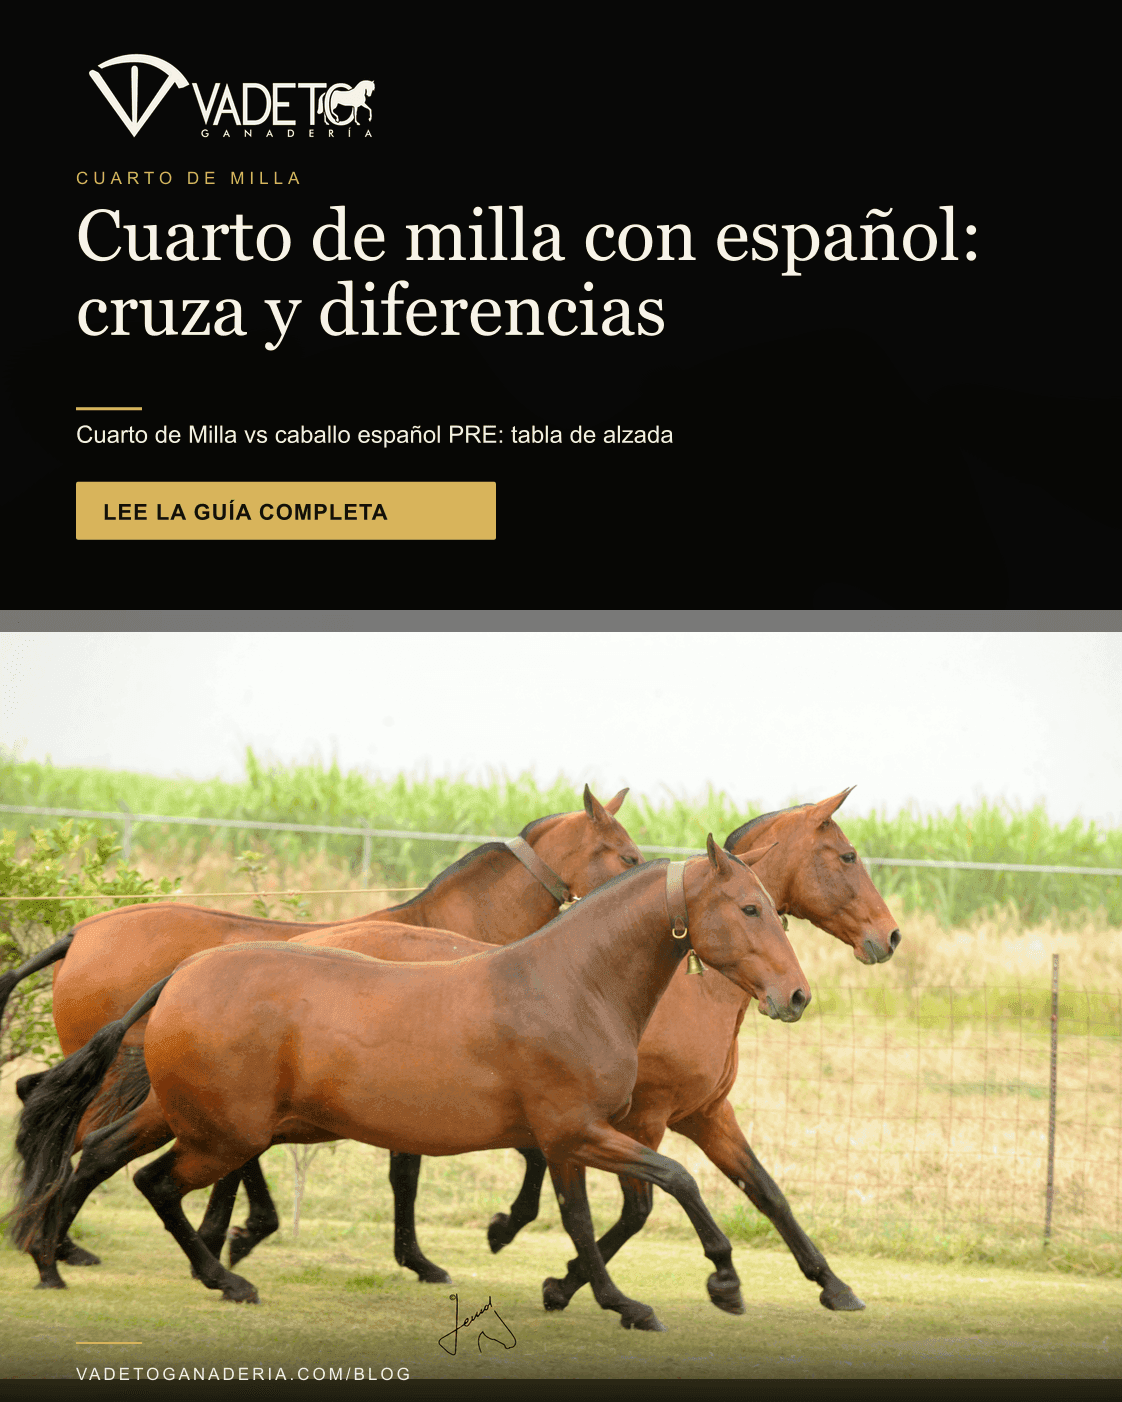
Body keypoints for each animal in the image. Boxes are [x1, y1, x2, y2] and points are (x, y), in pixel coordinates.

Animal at [1, 787, 640, 1275]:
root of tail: (82, 932)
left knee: (52, 1110)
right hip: (124, 1079)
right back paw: (58, 1240)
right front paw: (456, 1245)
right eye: (629, 857)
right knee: (74, 1133)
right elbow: (412, 1170)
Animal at [7, 838, 808, 1332]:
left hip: (184, 1116)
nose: (796, 995)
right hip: (221, 1134)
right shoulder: (579, 1132)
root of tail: (183, 974)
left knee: (105, 1157)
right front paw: (722, 1283)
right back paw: (220, 1277)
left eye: (772, 905)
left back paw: (53, 1260)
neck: (571, 985)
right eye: (749, 908)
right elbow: (675, 1181)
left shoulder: (567, 1141)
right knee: (154, 1182)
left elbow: (585, 1223)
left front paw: (615, 1301)